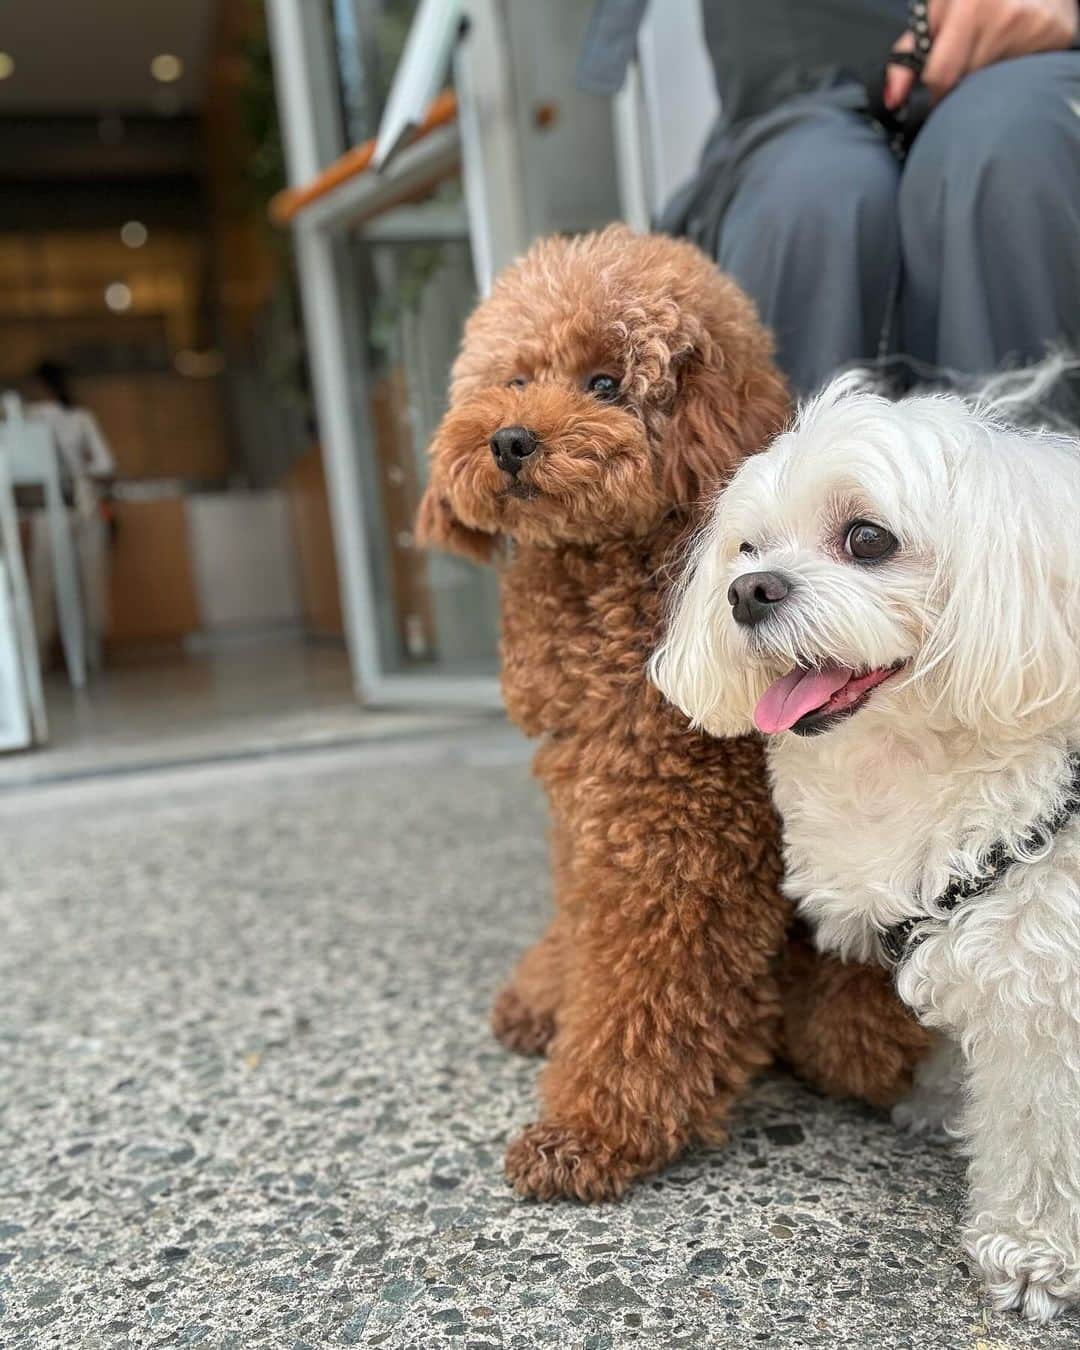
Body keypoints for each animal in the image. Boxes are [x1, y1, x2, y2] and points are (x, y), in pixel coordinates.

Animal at [653, 375, 1080, 1323]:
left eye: (868, 538)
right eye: (747, 546)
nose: (747, 591)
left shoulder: (1047, 983)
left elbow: (1042, 1132)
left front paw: (1031, 1253)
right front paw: (939, 1097)